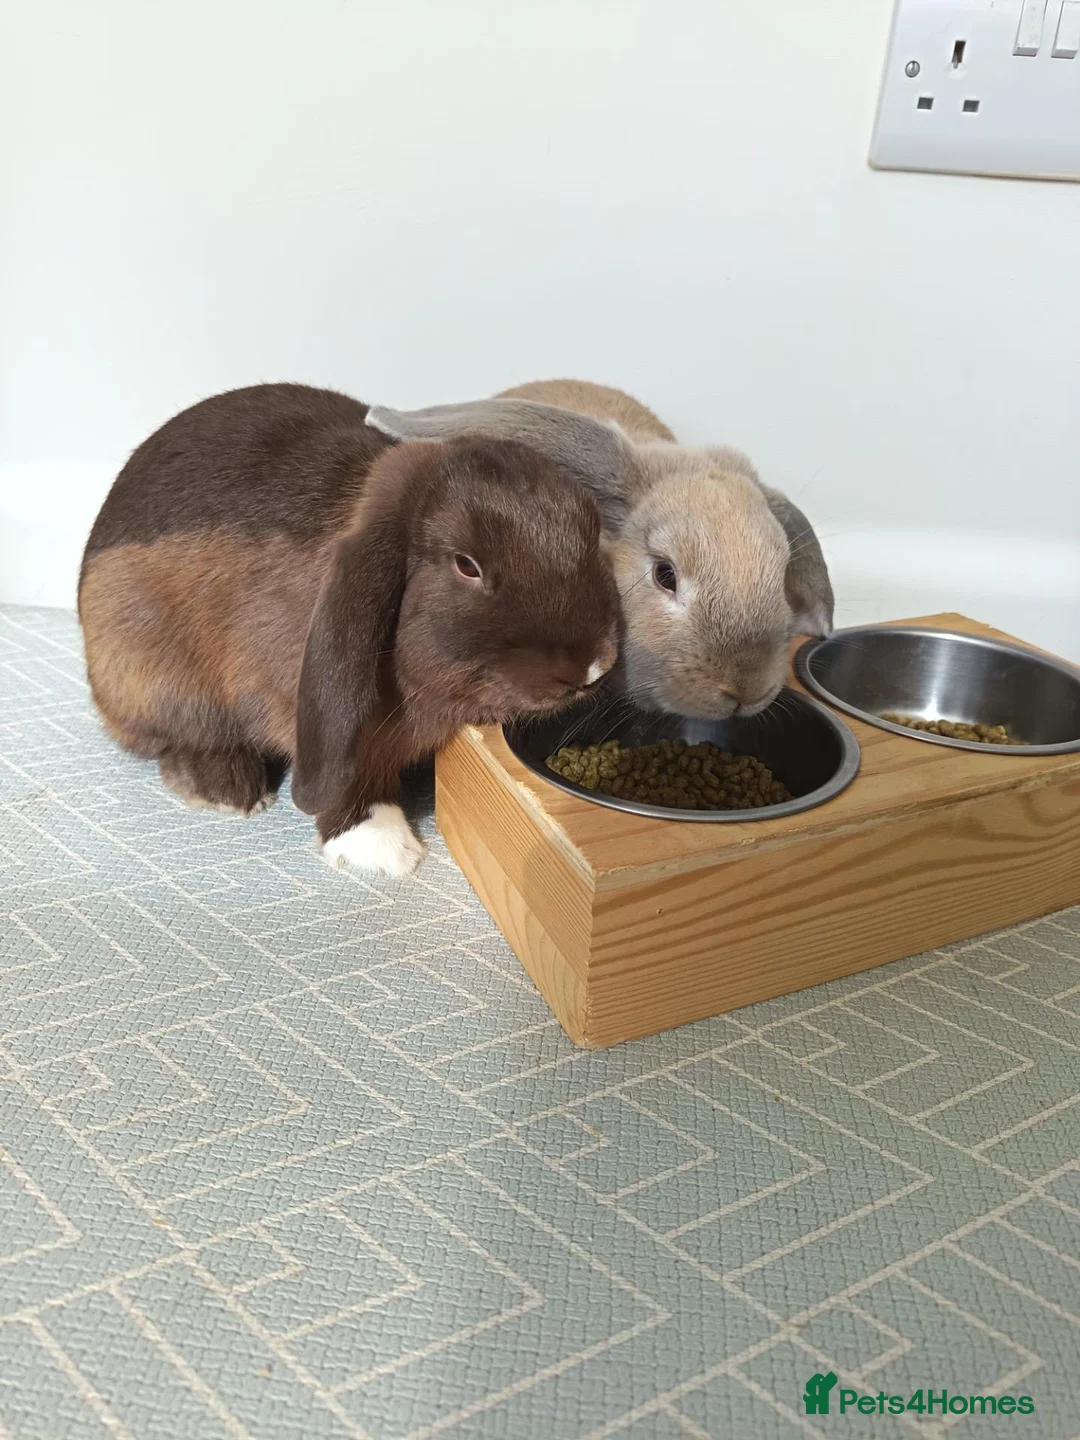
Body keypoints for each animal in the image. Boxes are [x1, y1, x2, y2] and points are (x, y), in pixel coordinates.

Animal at [79, 383, 619, 876]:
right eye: (467, 565)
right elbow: (352, 776)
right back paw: (229, 791)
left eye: (592, 536)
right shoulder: (321, 720)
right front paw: (384, 851)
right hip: (154, 679)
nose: (593, 666)